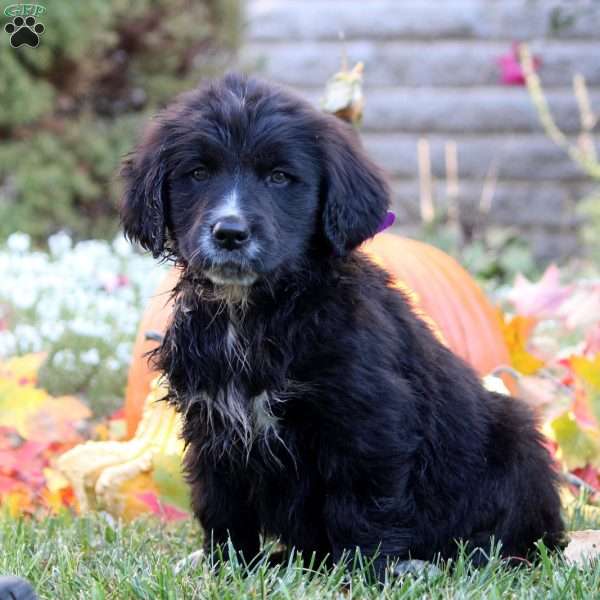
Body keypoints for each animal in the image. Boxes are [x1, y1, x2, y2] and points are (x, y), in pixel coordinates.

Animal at [120, 75, 564, 576]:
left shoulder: (368, 420)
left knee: (510, 541)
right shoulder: (213, 423)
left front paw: (360, 574)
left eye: (279, 177)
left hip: (517, 439)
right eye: (198, 173)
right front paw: (229, 568)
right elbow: (223, 506)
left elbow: (361, 506)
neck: (253, 313)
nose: (230, 233)